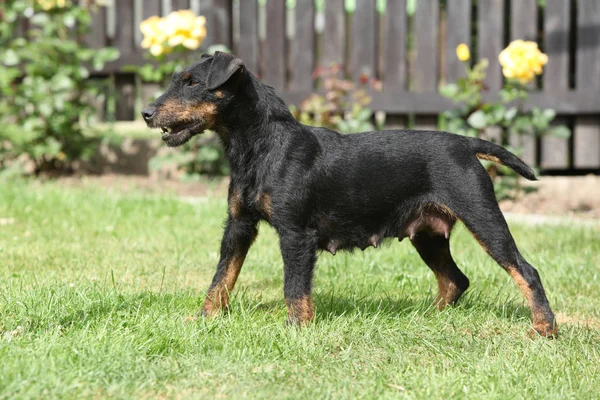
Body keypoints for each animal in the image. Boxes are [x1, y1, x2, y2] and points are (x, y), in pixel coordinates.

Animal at [142, 50, 556, 338]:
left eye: (192, 82)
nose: (146, 112)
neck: (260, 145)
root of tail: (466, 144)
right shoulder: (239, 226)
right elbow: (221, 277)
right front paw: (204, 318)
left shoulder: (295, 235)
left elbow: (294, 287)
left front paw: (296, 329)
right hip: (427, 235)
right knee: (456, 279)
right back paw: (427, 318)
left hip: (483, 218)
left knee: (525, 271)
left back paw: (544, 328)